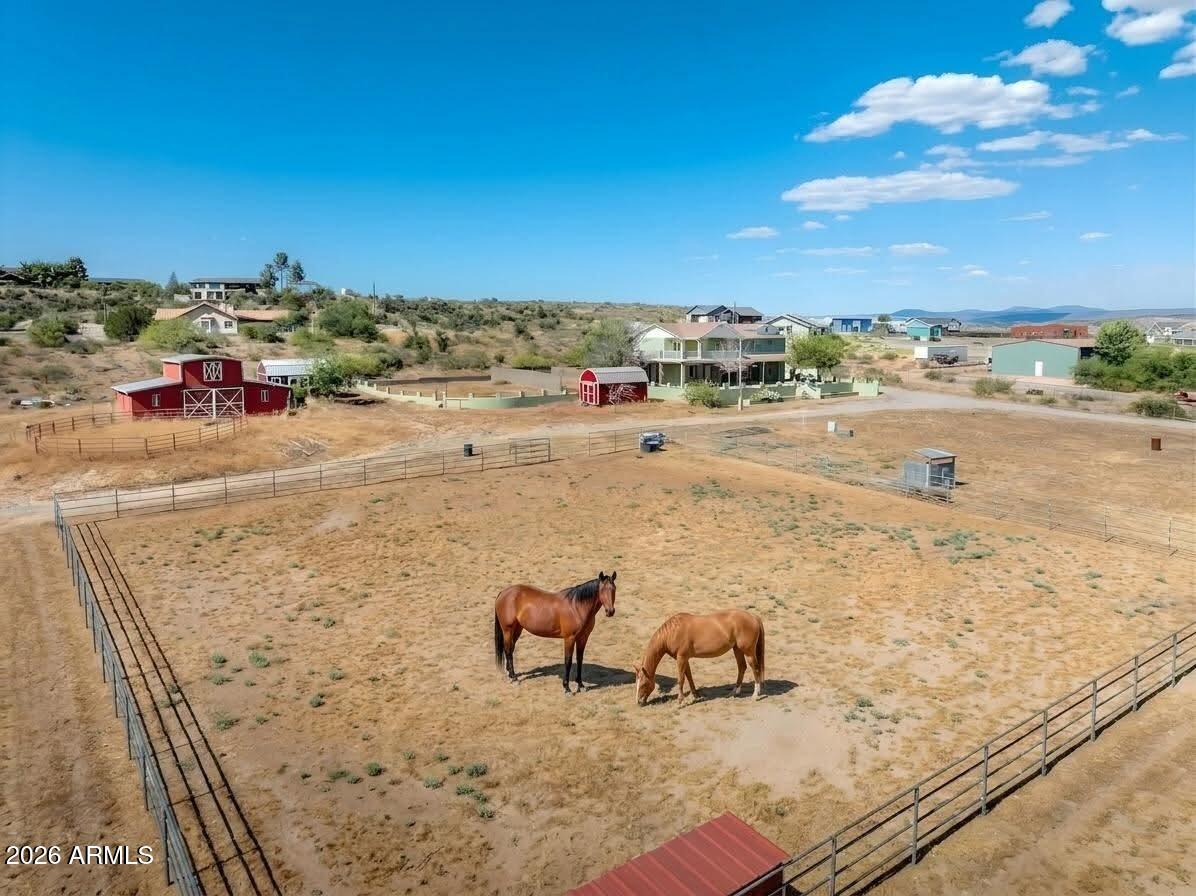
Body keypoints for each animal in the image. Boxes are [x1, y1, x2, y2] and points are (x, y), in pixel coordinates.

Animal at [632, 610, 764, 705]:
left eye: (643, 684)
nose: (638, 702)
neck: (672, 632)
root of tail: (754, 617)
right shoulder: (684, 659)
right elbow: (689, 677)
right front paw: (696, 695)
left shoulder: (681, 658)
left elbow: (681, 679)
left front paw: (680, 701)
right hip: (737, 649)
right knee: (742, 667)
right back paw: (735, 692)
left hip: (748, 652)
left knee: (755, 668)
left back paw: (755, 695)